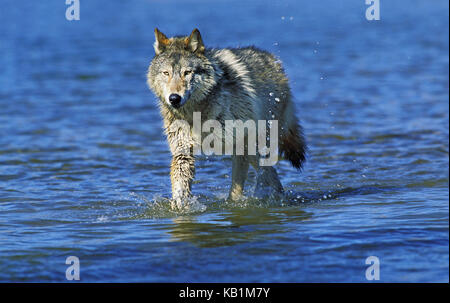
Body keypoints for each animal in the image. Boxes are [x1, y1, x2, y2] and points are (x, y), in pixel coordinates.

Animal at [147, 28, 306, 208]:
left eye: (187, 73)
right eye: (166, 73)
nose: (174, 98)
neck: (197, 112)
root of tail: (274, 61)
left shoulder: (242, 142)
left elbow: (242, 185)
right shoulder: (183, 151)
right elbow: (180, 182)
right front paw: (180, 205)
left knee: (269, 173)